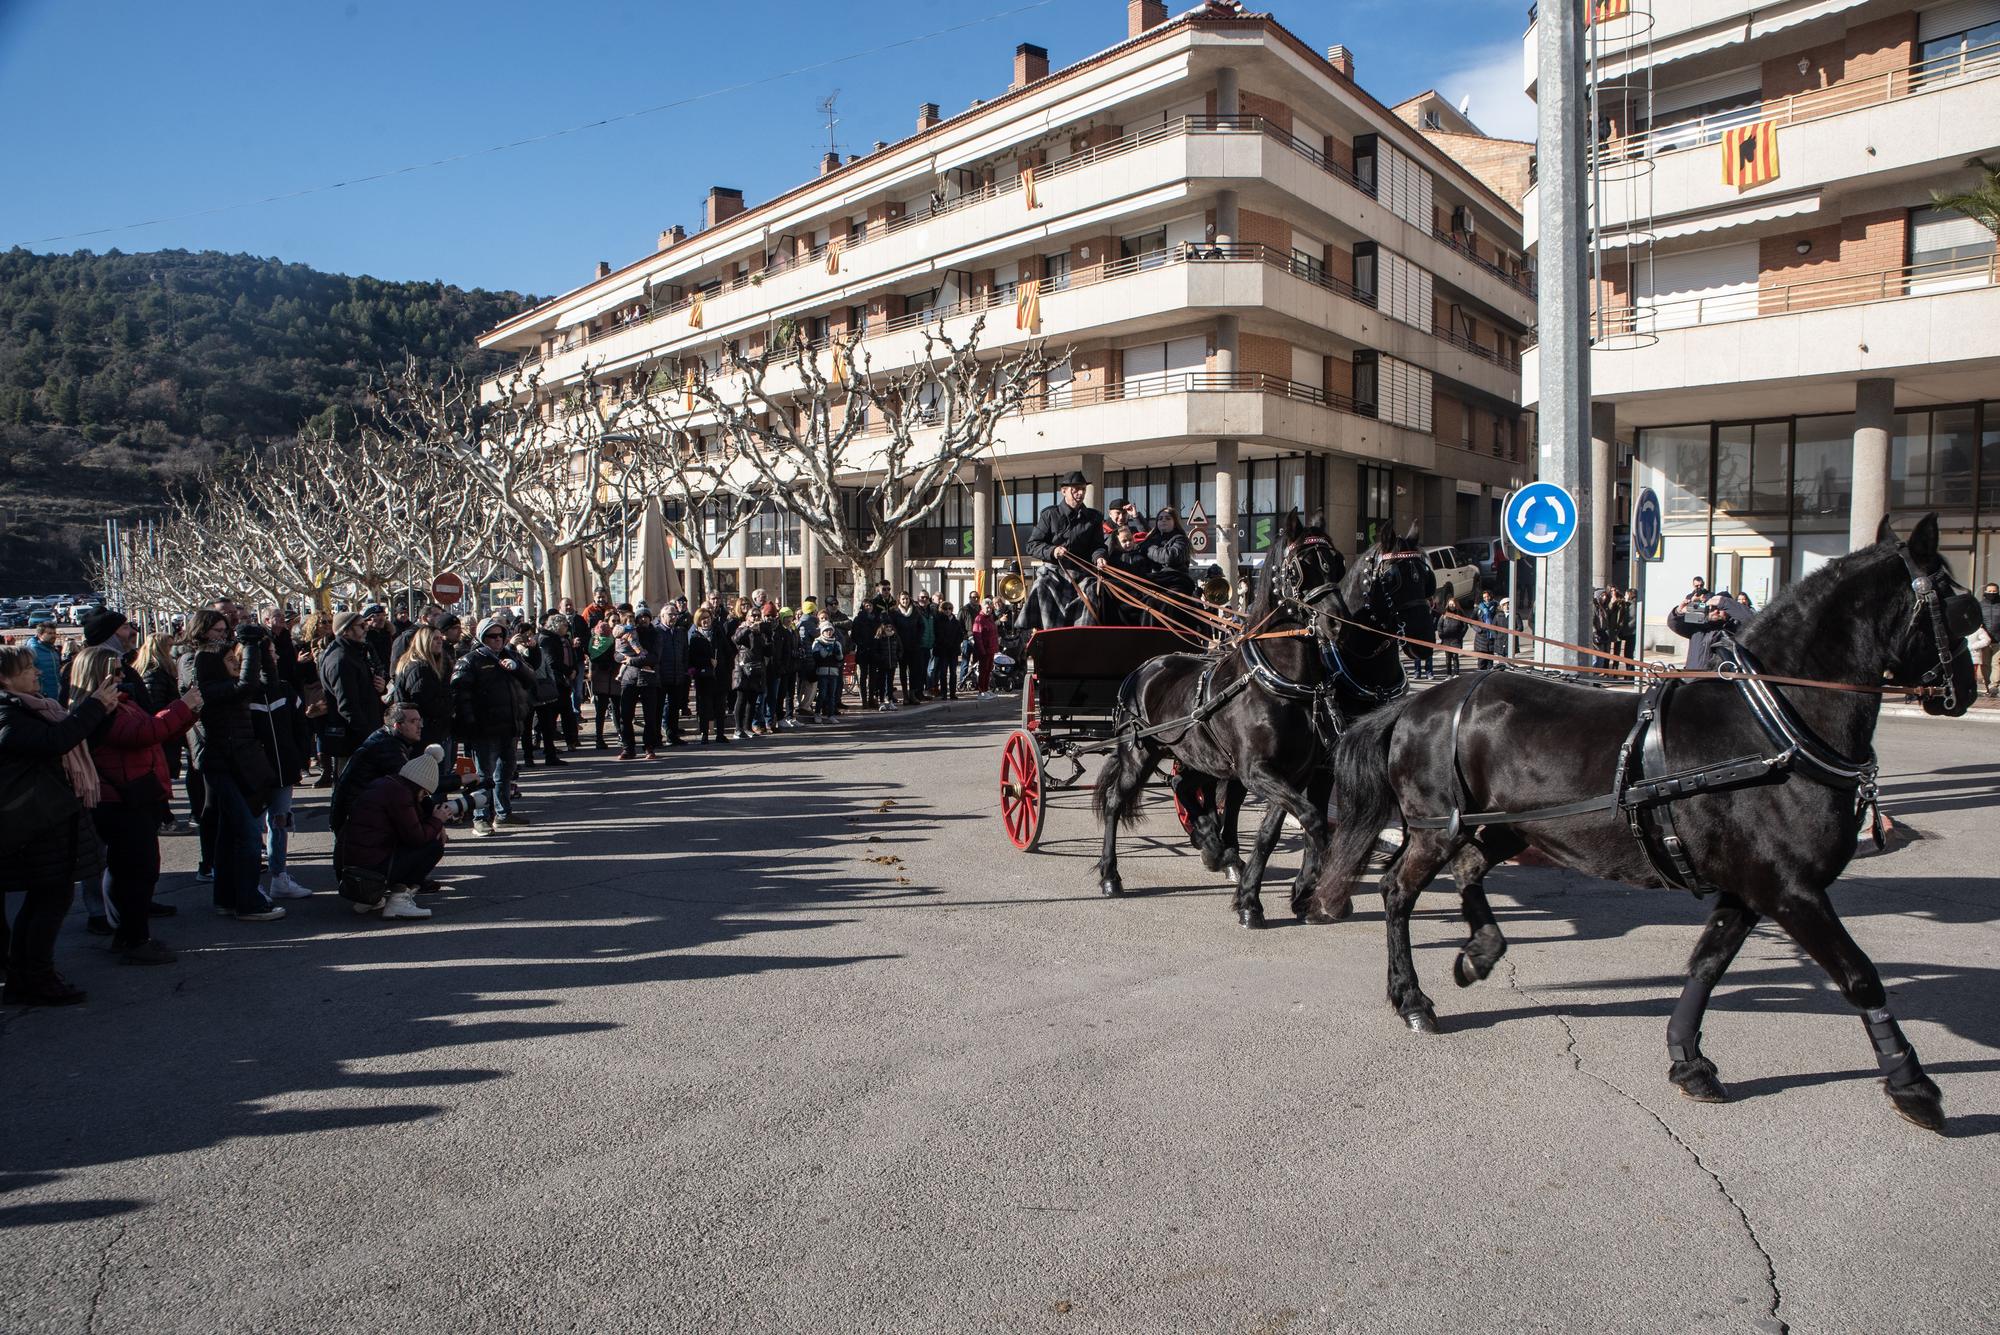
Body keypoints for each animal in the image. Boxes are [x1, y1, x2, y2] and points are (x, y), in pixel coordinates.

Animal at [1304, 515, 1976, 1135]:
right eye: (1961, 605)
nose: (1967, 689)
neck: (1772, 726)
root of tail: (1417, 701)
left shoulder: (1751, 888)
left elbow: (1706, 964)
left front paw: (1688, 1059)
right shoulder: (1792, 890)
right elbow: (1860, 977)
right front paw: (1912, 1084)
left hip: (1506, 827)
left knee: (1468, 870)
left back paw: (1481, 952)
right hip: (1437, 827)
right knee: (1397, 891)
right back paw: (1412, 998)